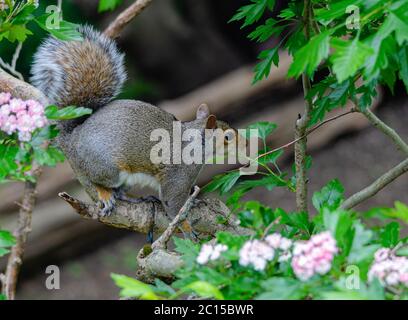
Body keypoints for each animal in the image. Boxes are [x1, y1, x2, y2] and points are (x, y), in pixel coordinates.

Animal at [31, 26, 242, 219]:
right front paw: (187, 227)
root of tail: (70, 139)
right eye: (227, 137)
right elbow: (173, 204)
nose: (245, 143)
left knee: (120, 192)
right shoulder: (178, 176)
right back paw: (105, 193)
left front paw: (195, 202)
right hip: (107, 167)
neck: (195, 143)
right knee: (96, 181)